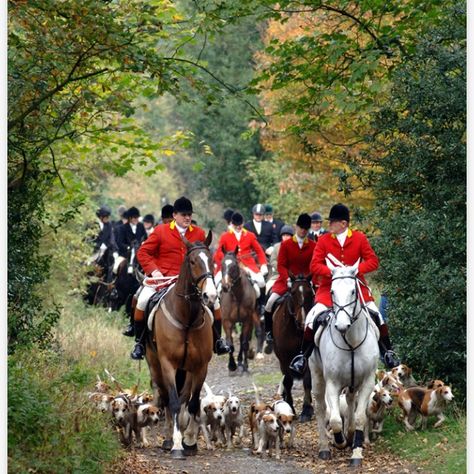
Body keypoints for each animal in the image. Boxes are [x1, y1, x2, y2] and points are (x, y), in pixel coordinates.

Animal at [143, 231, 217, 458]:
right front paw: (176, 444)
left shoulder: (200, 366)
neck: (187, 318)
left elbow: (192, 403)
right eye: (192, 261)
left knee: (185, 397)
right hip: (155, 365)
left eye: (211, 260)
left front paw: (190, 440)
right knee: (166, 397)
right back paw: (168, 437)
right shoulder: (168, 363)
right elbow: (174, 402)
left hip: (188, 370)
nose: (210, 296)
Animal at [270, 274, 314, 422]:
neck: (296, 330)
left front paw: (307, 409)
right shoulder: (284, 358)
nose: (303, 322)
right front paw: (290, 406)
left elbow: (307, 381)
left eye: (310, 293)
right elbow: (288, 381)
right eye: (293, 293)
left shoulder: (307, 355)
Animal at [310, 260, 380, 466]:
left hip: (352, 383)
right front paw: (339, 440)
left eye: (353, 291)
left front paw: (356, 453)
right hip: (317, 376)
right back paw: (325, 447)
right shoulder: (333, 383)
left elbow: (359, 418)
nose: (341, 325)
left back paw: (349, 436)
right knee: (321, 408)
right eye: (332, 291)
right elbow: (334, 420)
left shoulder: (367, 382)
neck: (351, 341)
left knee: (350, 401)